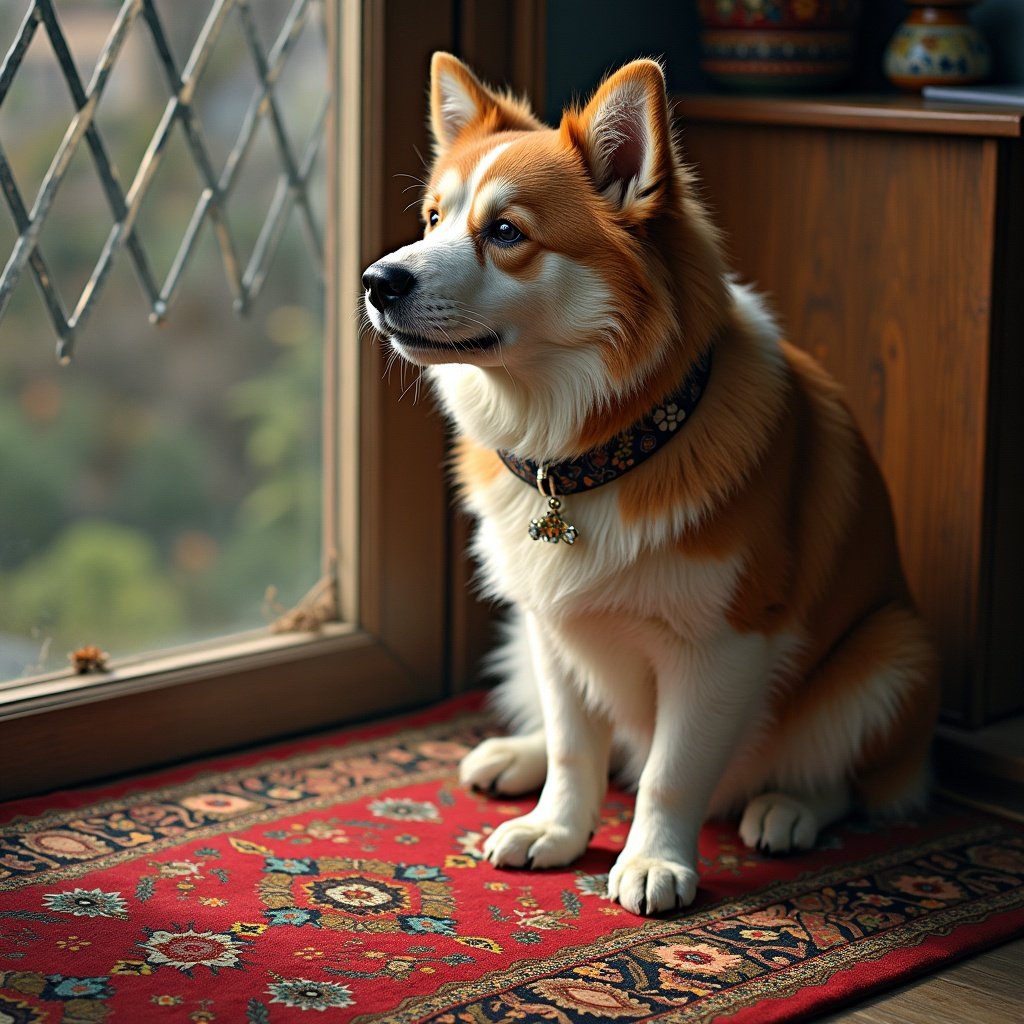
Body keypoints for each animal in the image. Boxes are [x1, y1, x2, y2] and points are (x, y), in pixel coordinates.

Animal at [360, 54, 937, 921]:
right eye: (432, 219)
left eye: (506, 232)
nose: (376, 281)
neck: (588, 452)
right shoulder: (551, 624)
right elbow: (576, 748)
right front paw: (558, 830)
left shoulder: (723, 646)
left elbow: (670, 774)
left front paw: (654, 860)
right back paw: (518, 755)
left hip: (891, 654)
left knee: (848, 777)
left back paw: (790, 807)